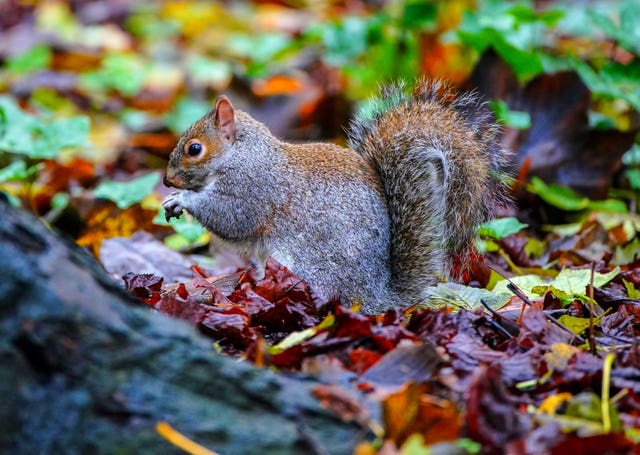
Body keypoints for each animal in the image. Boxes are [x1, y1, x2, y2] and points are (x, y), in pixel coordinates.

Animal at [162, 79, 509, 314]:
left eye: (195, 149)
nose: (166, 180)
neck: (241, 153)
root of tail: (377, 297)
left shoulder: (252, 187)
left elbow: (231, 217)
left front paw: (182, 199)